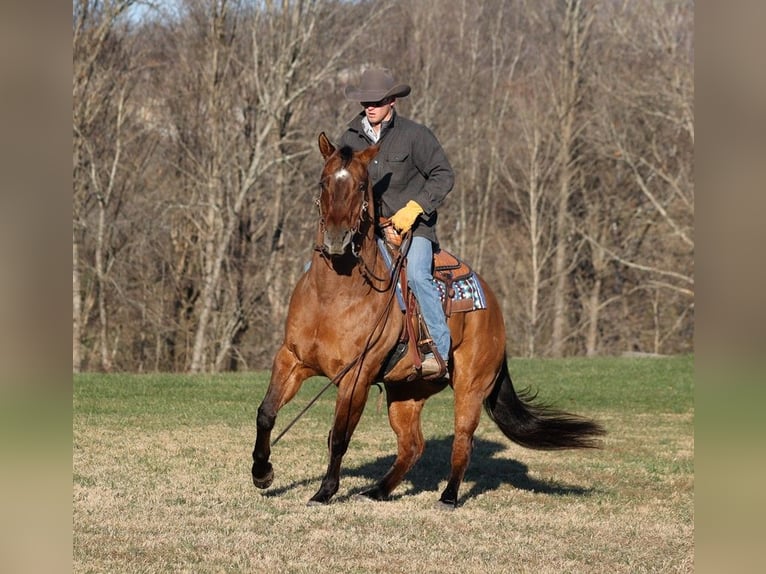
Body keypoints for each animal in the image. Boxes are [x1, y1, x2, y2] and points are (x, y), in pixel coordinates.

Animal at [252, 133, 608, 510]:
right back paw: (377, 490)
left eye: (362, 185)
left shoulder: (356, 377)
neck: (333, 297)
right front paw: (262, 473)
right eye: (323, 181)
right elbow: (266, 413)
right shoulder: (291, 359)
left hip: (470, 387)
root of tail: (493, 305)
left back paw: (448, 496)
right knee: (412, 445)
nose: (337, 238)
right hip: (407, 392)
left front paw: (324, 492)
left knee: (463, 440)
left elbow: (339, 436)